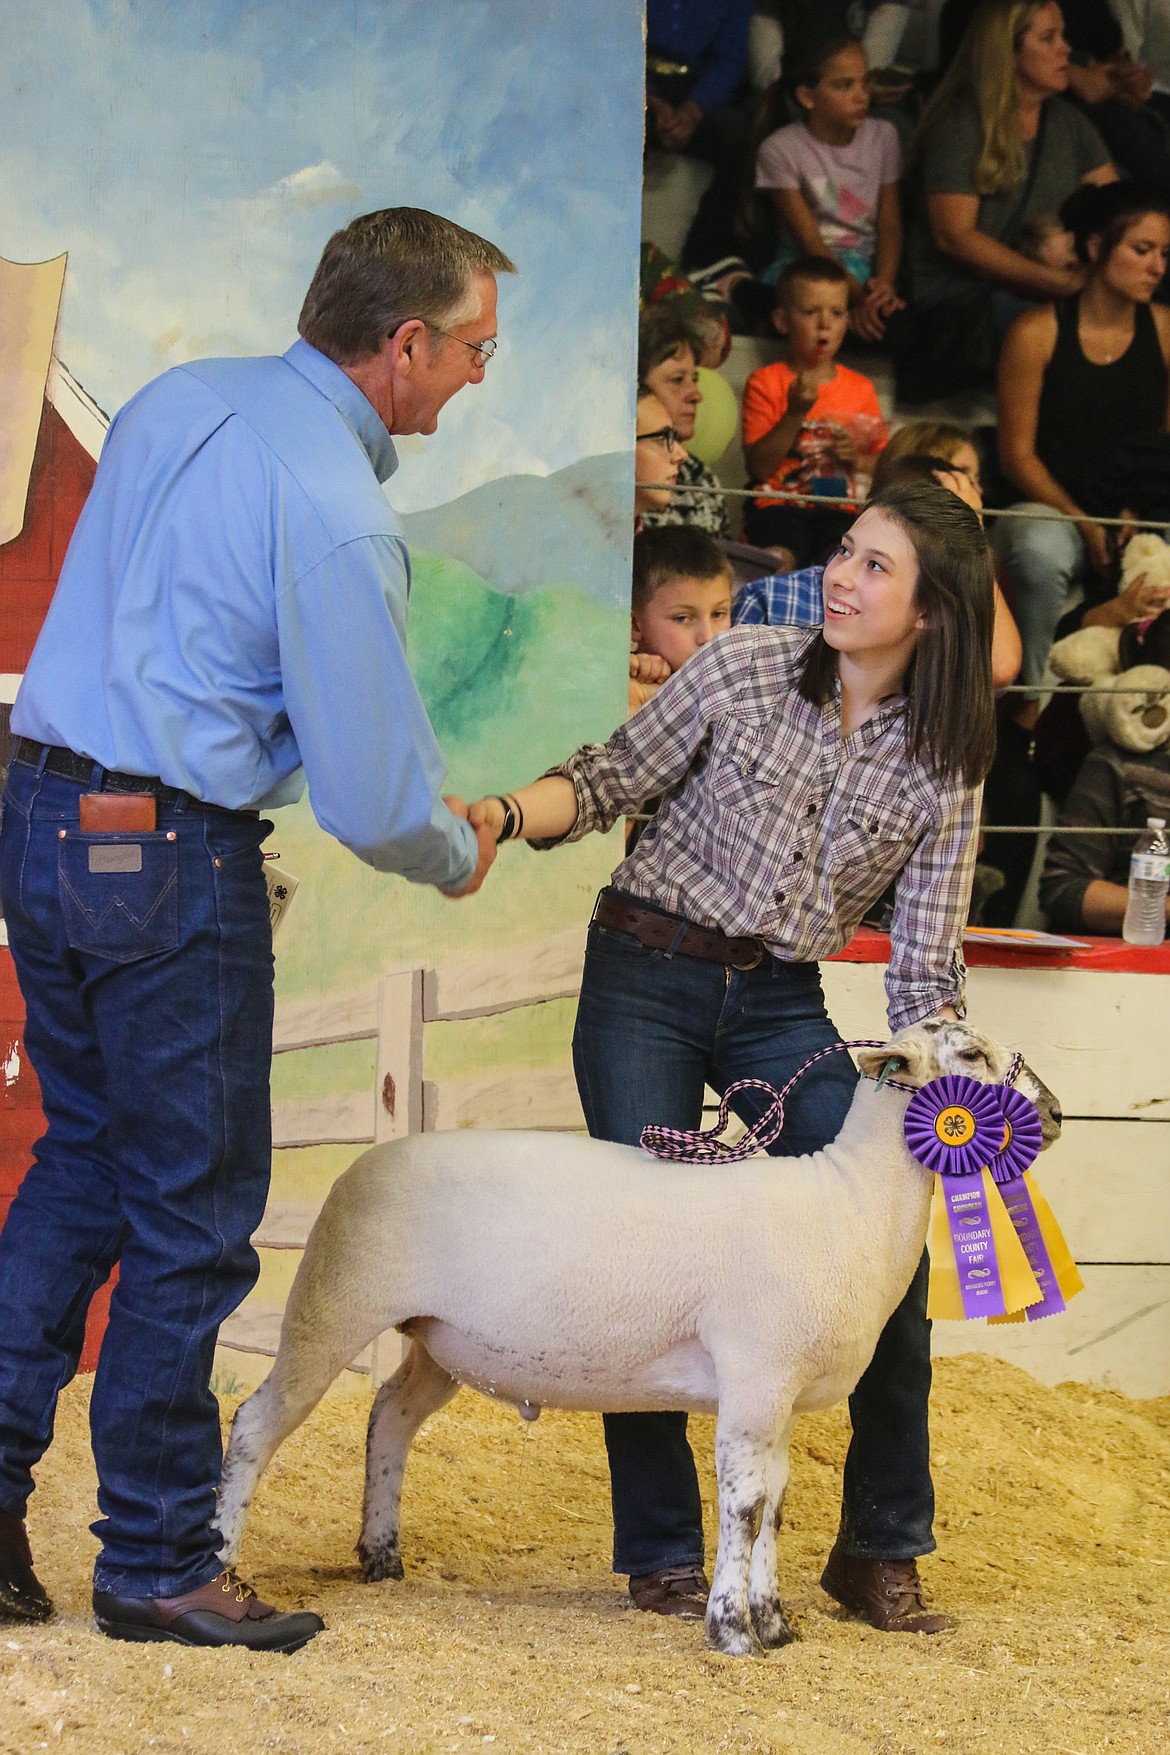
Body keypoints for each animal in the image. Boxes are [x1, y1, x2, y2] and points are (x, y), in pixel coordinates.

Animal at [217, 1024, 1059, 1649]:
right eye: (970, 1055)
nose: (1052, 1113)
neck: (847, 1202)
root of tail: (364, 1161)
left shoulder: (778, 1392)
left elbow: (776, 1505)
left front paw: (774, 1622)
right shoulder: (755, 1371)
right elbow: (745, 1503)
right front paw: (732, 1629)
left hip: (439, 1338)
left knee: (389, 1413)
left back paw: (381, 1552)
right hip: (335, 1297)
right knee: (258, 1420)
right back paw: (223, 1554)